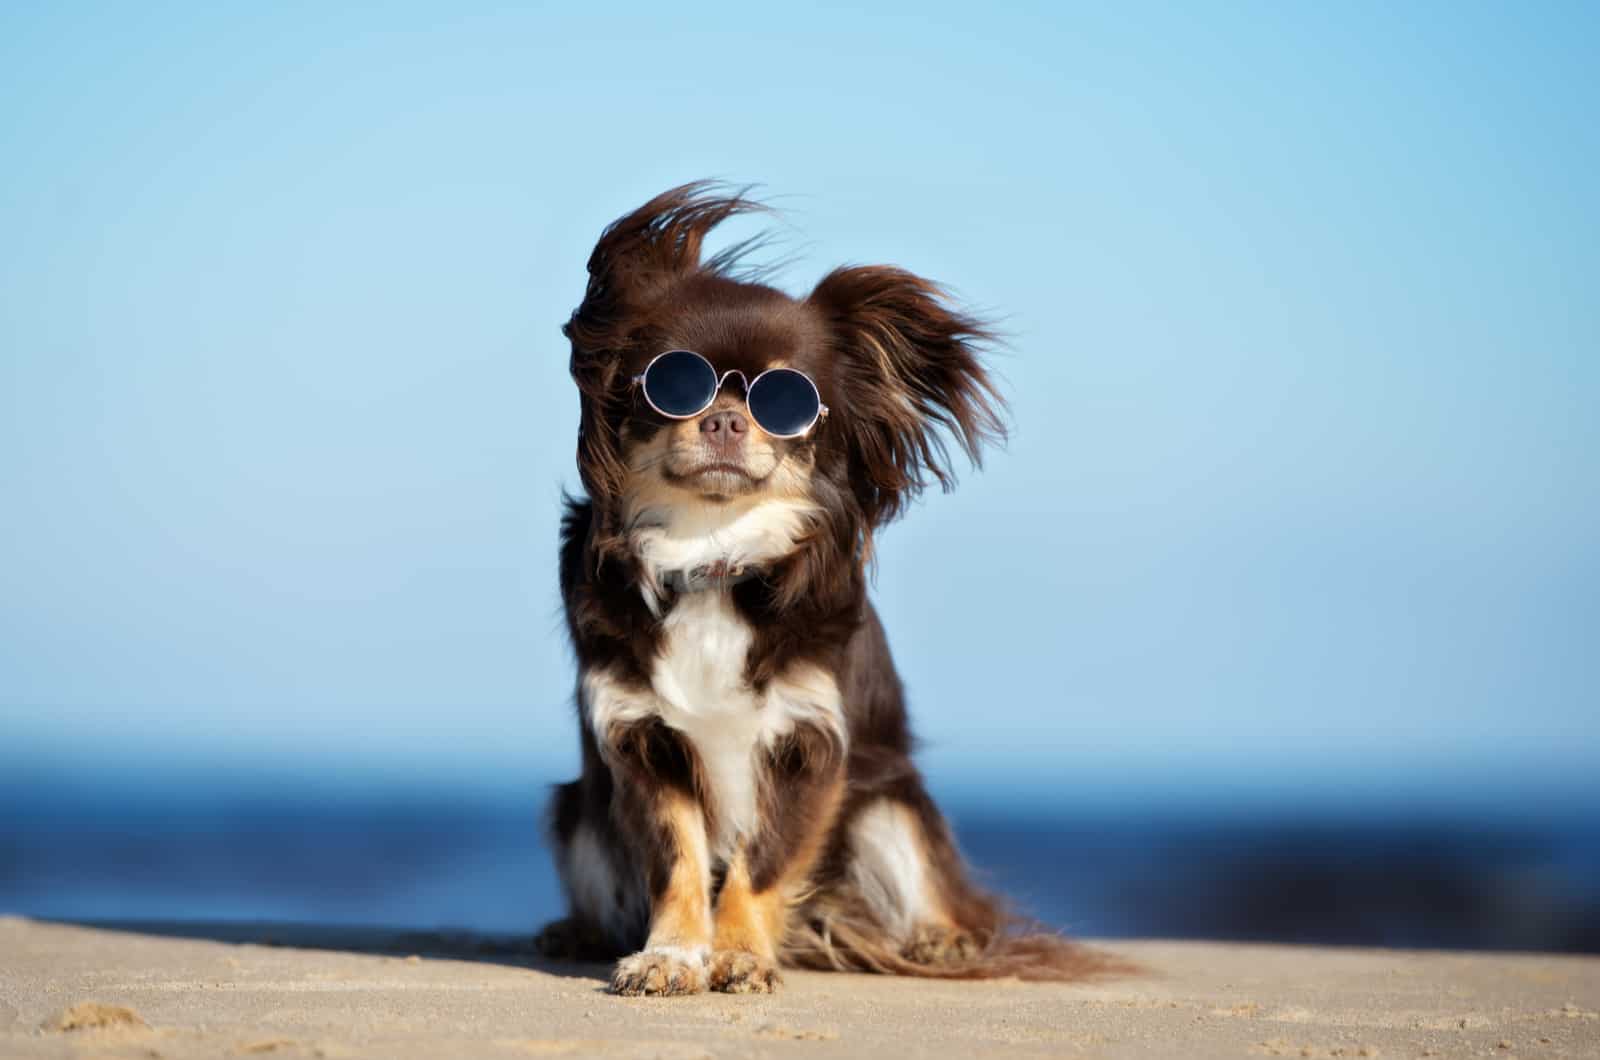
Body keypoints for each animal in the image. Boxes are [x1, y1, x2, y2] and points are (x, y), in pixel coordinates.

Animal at [537, 184, 1113, 999]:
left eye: (787, 400)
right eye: (670, 384)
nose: (724, 418)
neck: (713, 559)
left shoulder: (811, 748)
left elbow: (761, 862)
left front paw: (740, 954)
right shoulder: (643, 742)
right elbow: (678, 863)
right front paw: (673, 954)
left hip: (890, 803)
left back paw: (940, 939)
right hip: (574, 810)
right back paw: (580, 930)